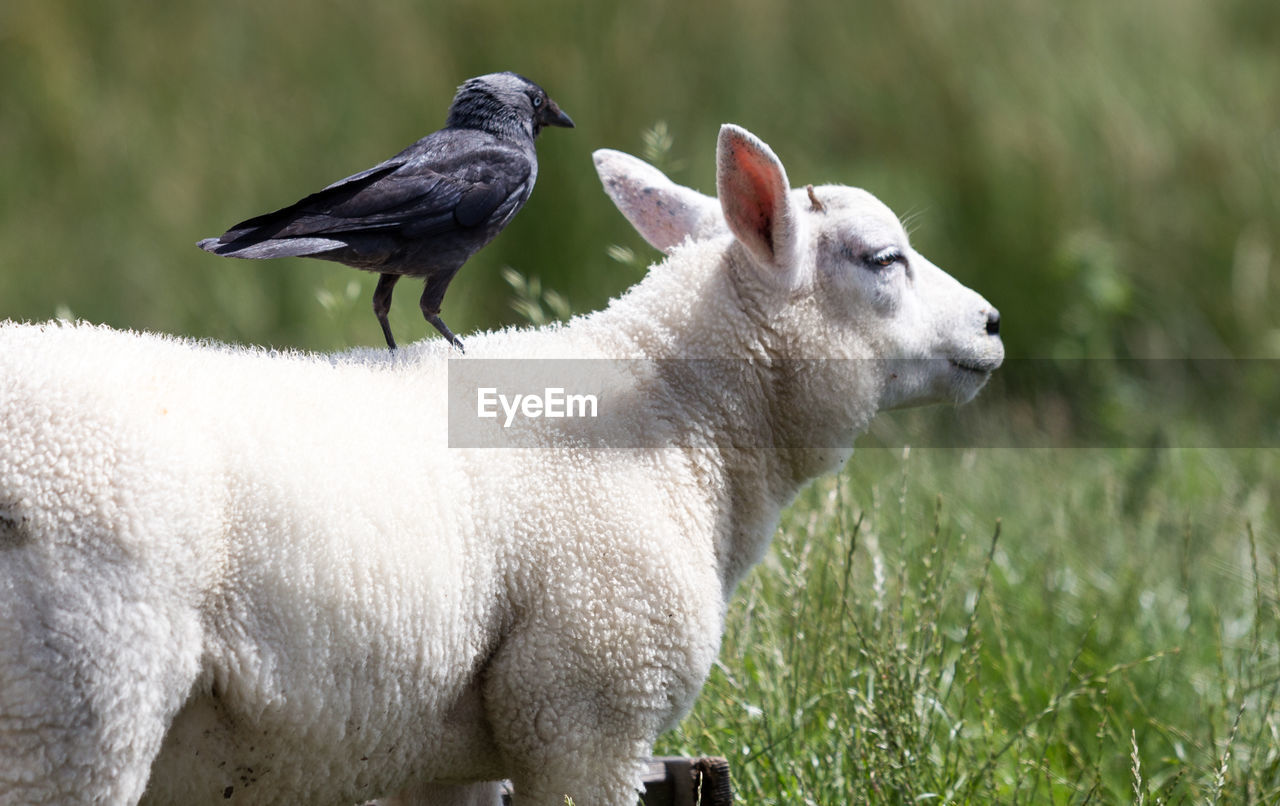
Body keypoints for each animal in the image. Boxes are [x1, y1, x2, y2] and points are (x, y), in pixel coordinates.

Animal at [0, 123, 998, 803]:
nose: (991, 325)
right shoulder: (588, 706)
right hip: (83, 697)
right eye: (883, 259)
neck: (686, 424)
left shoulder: (447, 754)